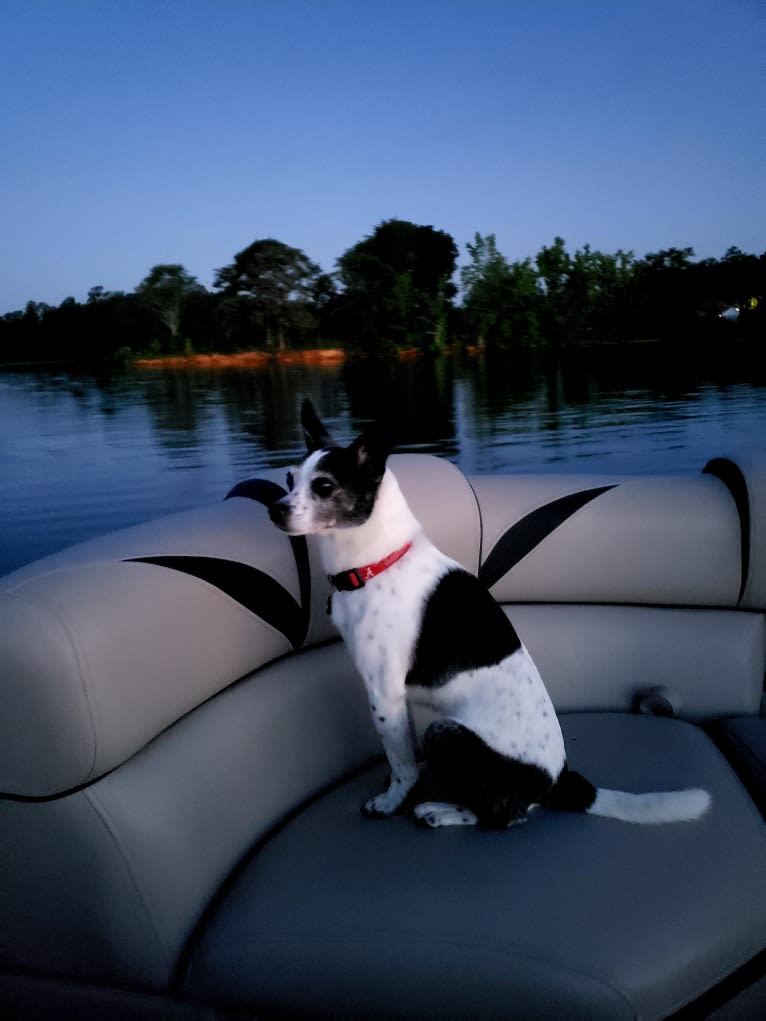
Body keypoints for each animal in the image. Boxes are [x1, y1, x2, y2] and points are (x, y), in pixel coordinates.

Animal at [271, 398, 714, 829]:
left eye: (324, 486)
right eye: (290, 480)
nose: (275, 510)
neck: (380, 562)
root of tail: (560, 781)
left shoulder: (383, 691)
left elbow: (402, 763)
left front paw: (393, 799)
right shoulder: (396, 701)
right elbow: (403, 750)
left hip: (444, 732)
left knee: (506, 815)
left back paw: (443, 811)